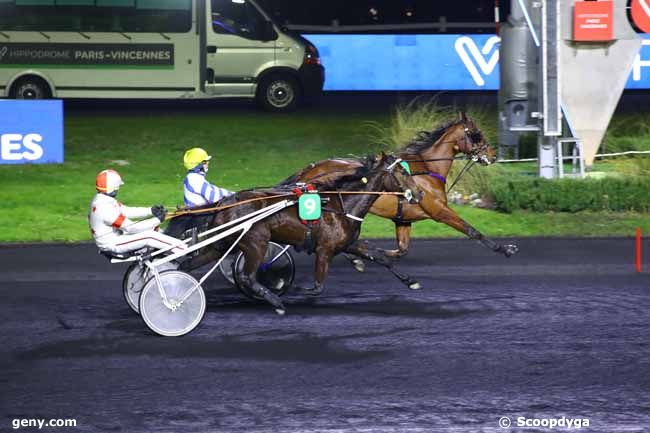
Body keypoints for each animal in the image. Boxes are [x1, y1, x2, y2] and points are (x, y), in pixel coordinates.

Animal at [165, 152, 422, 314]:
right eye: (401, 173)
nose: (419, 193)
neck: (341, 204)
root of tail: (223, 204)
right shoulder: (325, 249)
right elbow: (317, 286)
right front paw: (289, 286)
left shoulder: (348, 243)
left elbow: (380, 257)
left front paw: (411, 281)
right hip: (256, 242)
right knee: (248, 276)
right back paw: (276, 301)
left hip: (222, 244)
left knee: (188, 264)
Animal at [280, 111, 520, 262]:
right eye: (476, 134)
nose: (493, 155)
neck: (427, 168)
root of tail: (308, 169)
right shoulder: (439, 210)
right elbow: (472, 230)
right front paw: (506, 249)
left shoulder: (403, 219)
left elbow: (401, 250)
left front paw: (372, 251)